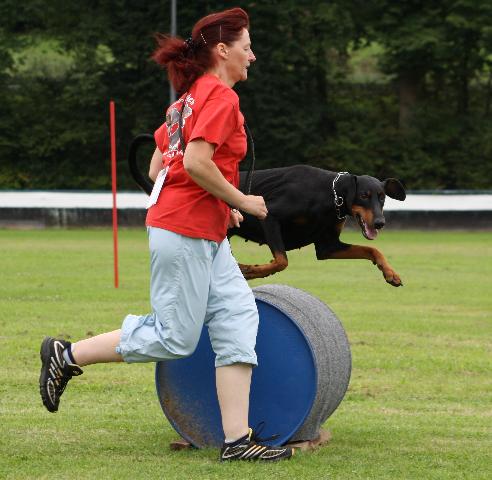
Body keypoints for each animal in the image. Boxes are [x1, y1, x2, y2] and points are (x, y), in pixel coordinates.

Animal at [129, 133, 406, 286]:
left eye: (382, 198)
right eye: (364, 195)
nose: (380, 223)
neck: (329, 194)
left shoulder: (328, 247)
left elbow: (372, 249)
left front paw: (390, 273)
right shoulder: (270, 216)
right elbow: (281, 260)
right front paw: (252, 270)